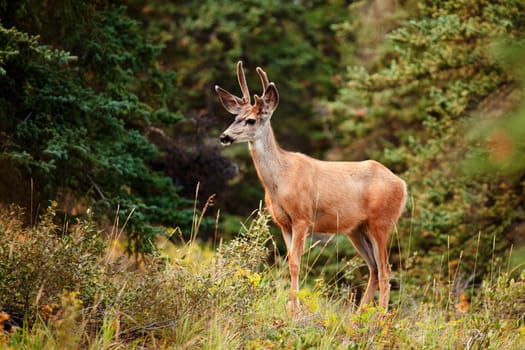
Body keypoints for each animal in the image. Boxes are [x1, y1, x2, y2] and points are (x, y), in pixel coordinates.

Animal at [213, 61, 406, 316]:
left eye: (251, 120)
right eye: (235, 117)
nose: (224, 137)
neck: (281, 180)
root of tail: (402, 184)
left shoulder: (302, 217)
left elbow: (296, 263)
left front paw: (294, 312)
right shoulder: (283, 222)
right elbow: (289, 262)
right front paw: (292, 308)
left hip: (382, 222)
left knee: (385, 270)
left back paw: (380, 318)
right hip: (356, 228)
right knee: (374, 268)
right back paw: (359, 317)